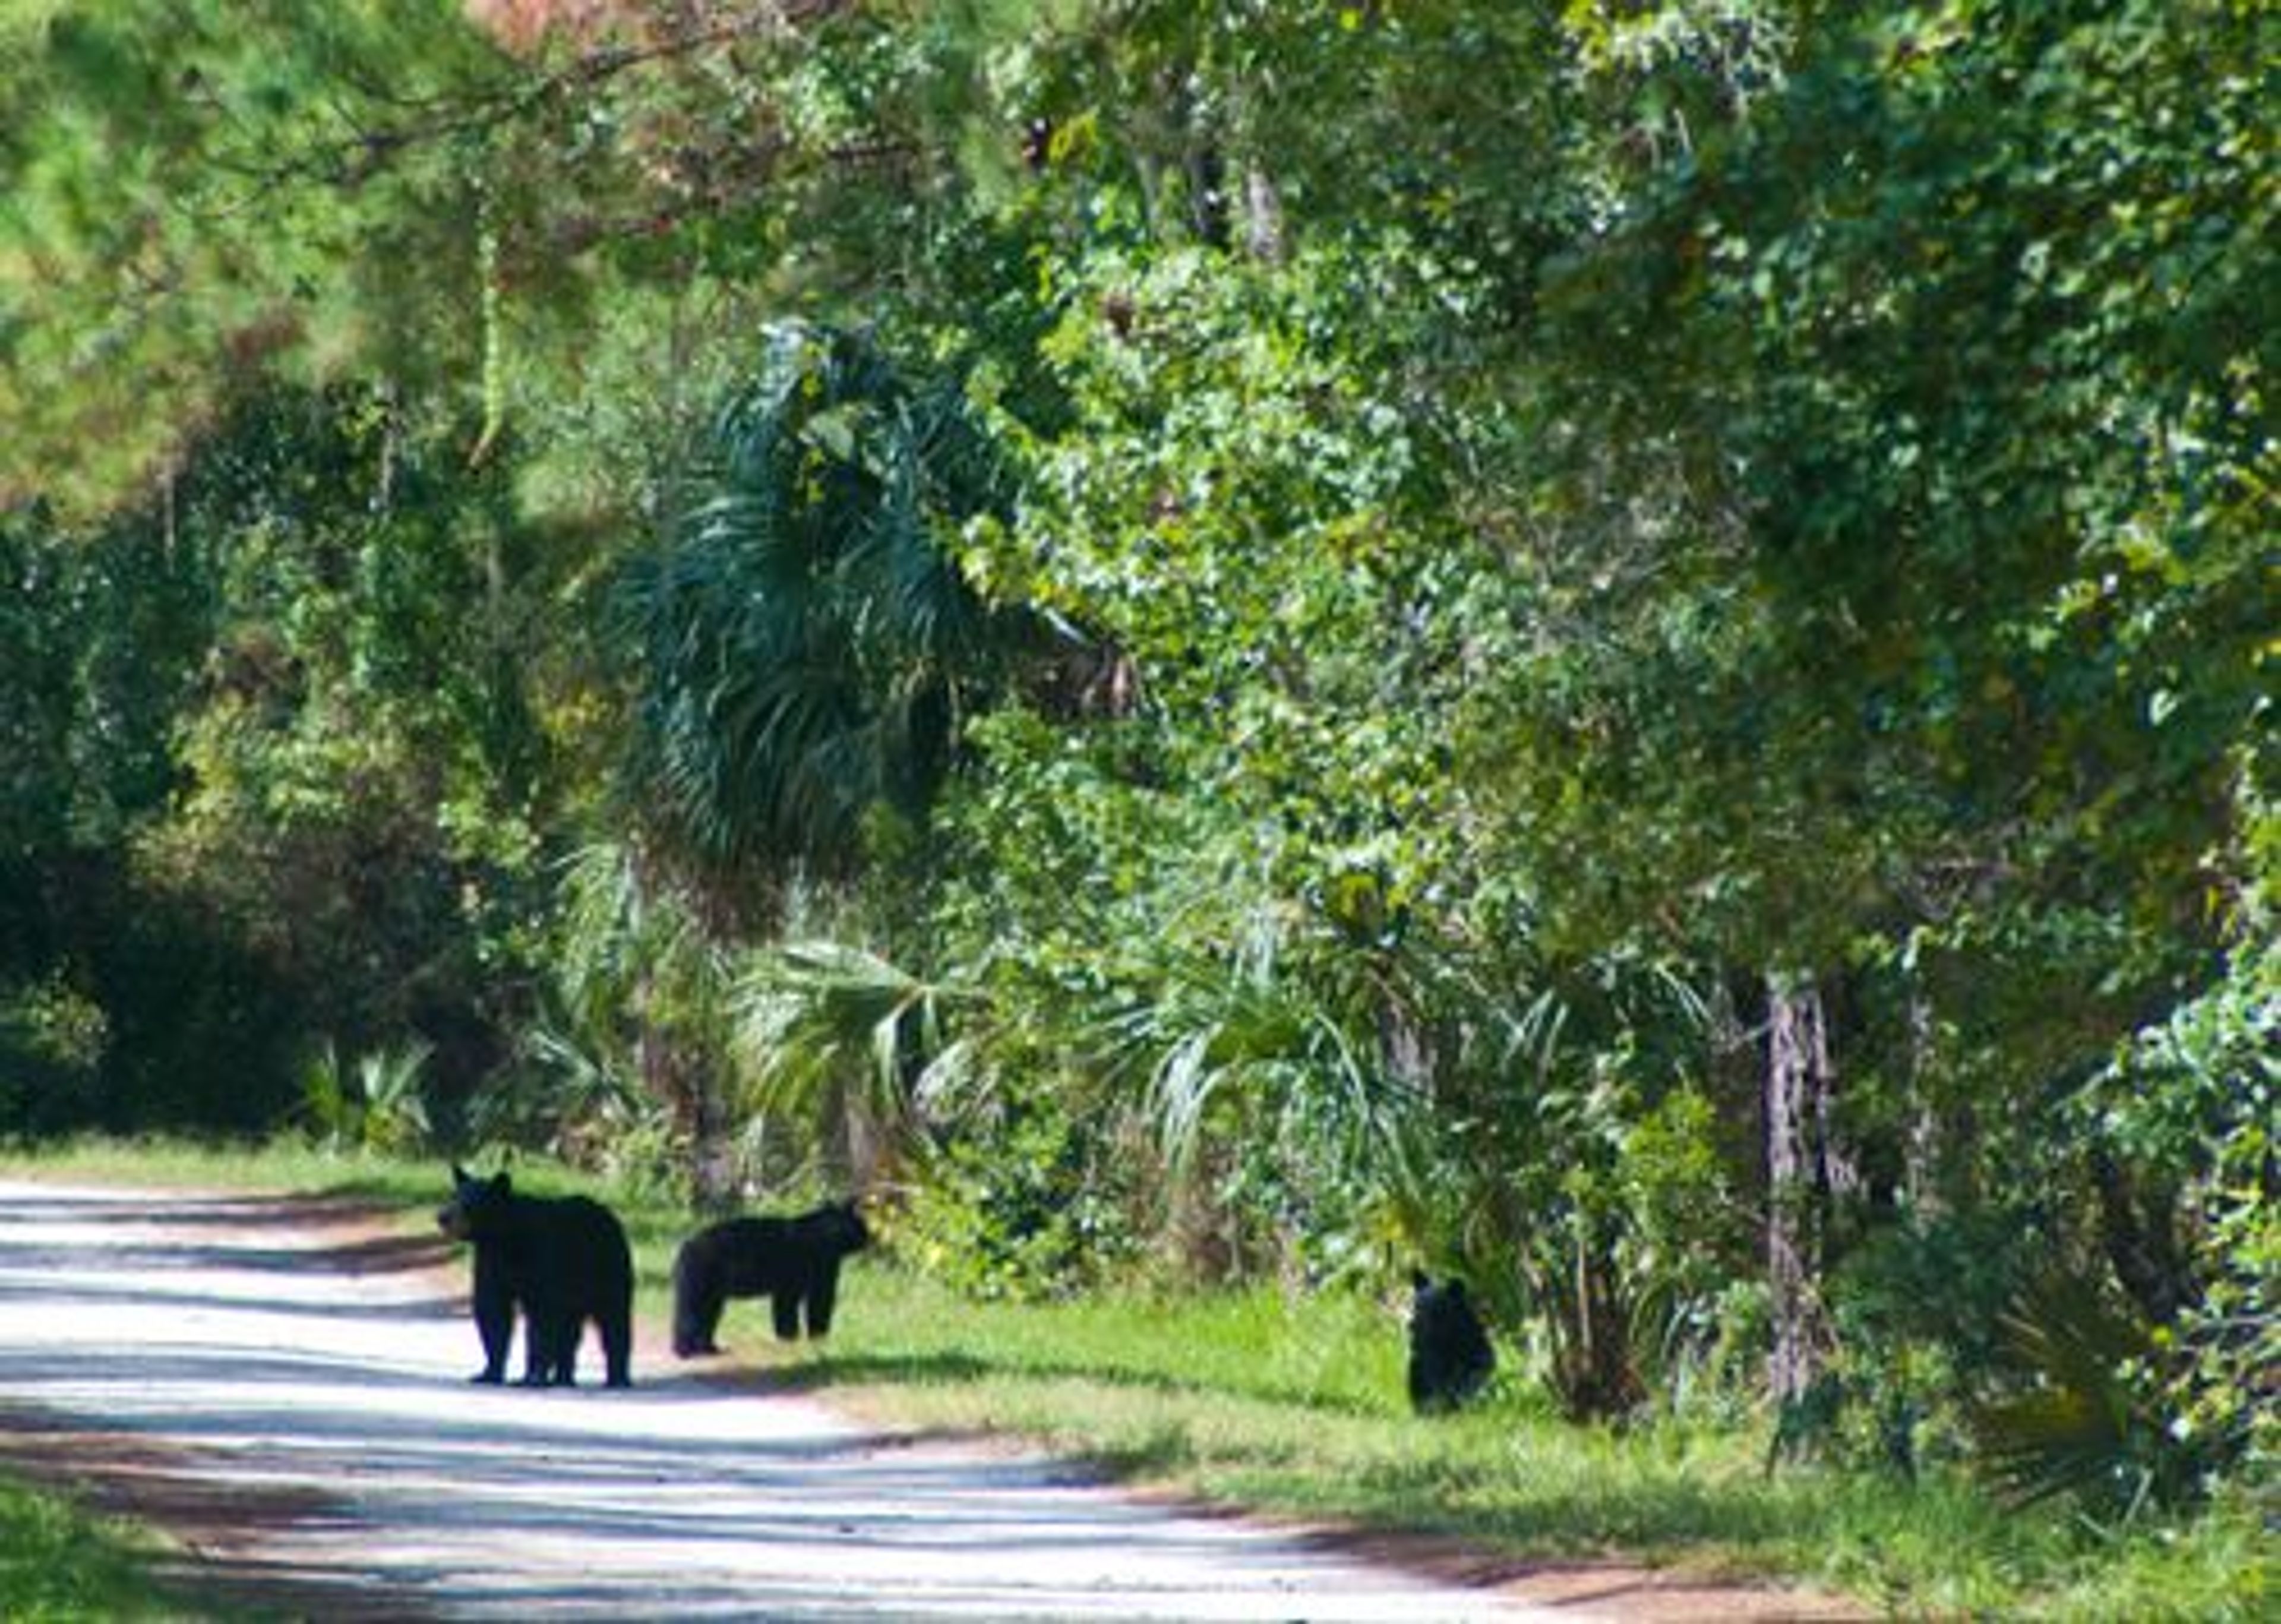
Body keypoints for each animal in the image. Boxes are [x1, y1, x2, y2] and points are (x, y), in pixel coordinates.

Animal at [435, 1164, 634, 1389]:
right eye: (453, 1196)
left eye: (469, 1203)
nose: (442, 1217)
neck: (506, 1241)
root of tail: (610, 1216)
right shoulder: (491, 1264)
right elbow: (493, 1310)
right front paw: (488, 1373)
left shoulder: (542, 1261)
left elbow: (543, 1318)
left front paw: (535, 1377)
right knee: (570, 1330)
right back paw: (563, 1378)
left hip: (608, 1270)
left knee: (614, 1318)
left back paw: (617, 1378)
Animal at [671, 1198, 870, 1357]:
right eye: (862, 1225)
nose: (868, 1238)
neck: (827, 1236)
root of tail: (684, 1248)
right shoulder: (819, 1266)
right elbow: (817, 1301)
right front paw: (813, 1337)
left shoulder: (792, 1280)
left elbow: (787, 1304)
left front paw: (790, 1338)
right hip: (701, 1279)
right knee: (691, 1311)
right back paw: (685, 1350)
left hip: (713, 1291)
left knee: (708, 1314)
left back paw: (709, 1348)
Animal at [1407, 1270, 1495, 1415]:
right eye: (1416, 1306)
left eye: (1436, 1309)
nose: (1411, 1325)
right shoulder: (1427, 1355)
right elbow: (1434, 1379)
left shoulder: (1476, 1350)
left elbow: (1477, 1369)